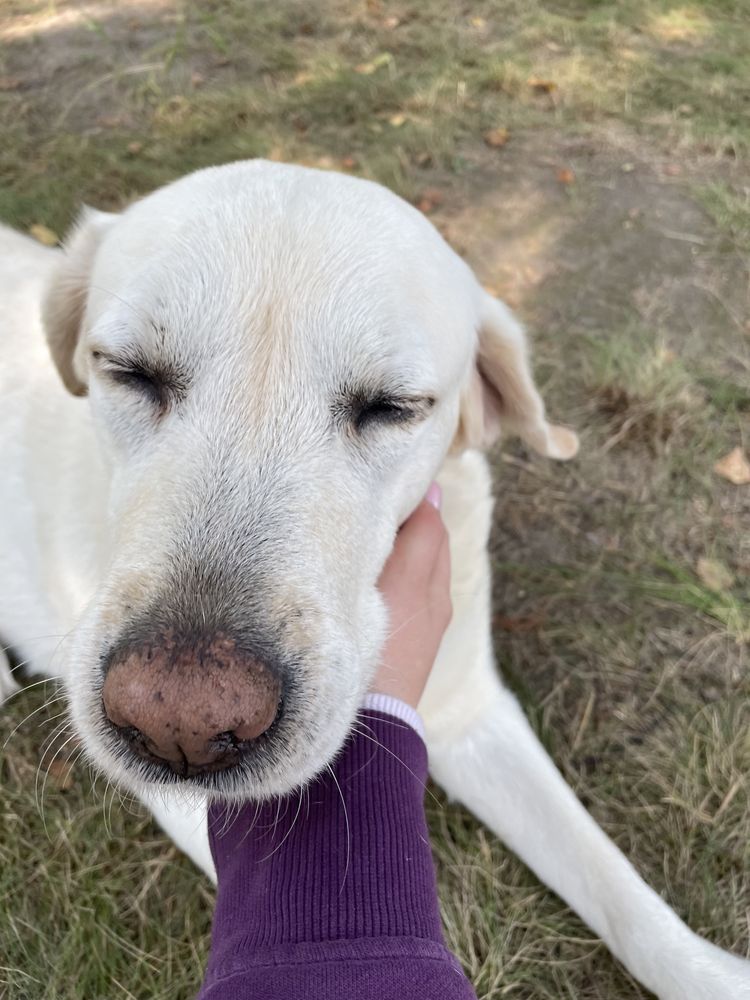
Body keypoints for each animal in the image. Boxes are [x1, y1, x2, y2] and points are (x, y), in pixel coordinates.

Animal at [0, 160, 748, 996]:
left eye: (394, 407)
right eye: (128, 372)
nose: (179, 723)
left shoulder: (472, 710)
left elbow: (614, 882)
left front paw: (710, 971)